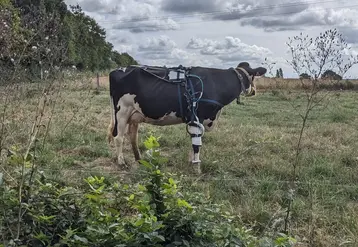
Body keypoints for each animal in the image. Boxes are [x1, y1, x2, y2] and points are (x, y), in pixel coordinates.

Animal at [106, 61, 266, 174]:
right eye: (253, 76)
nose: (254, 91)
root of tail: (116, 70)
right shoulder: (197, 116)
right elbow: (196, 144)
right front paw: (197, 168)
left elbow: (194, 141)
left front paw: (192, 162)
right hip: (121, 112)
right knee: (118, 137)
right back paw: (122, 162)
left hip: (134, 114)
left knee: (133, 135)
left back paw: (139, 159)